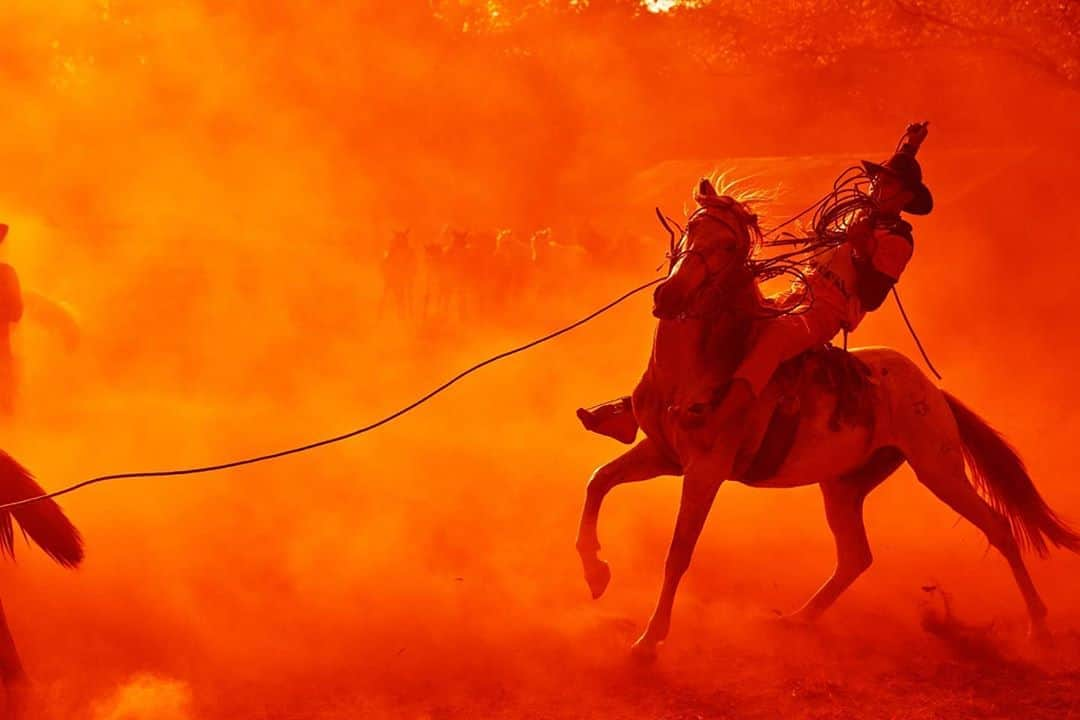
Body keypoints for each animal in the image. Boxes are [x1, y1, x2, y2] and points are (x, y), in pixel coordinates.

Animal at [574, 177, 1071, 660]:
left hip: (940, 470)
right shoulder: (662, 454)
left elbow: (678, 552)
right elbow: (599, 481)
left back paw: (1040, 628)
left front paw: (649, 640)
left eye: (729, 244)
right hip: (844, 485)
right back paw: (799, 618)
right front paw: (596, 573)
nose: (670, 294)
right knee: (856, 556)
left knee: (999, 529)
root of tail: (934, 394)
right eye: (693, 227)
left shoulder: (704, 471)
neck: (698, 368)